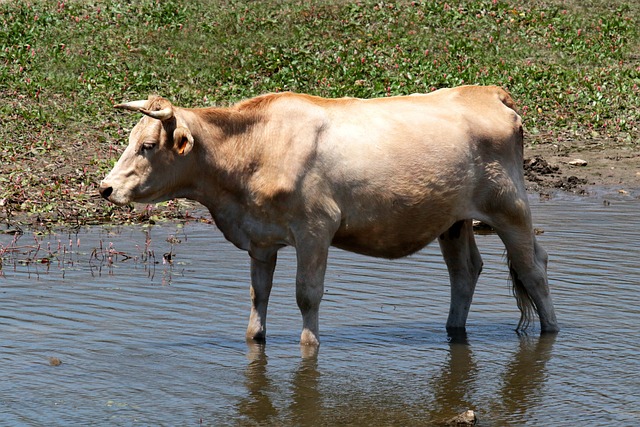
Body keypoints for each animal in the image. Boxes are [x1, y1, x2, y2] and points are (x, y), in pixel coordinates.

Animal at [97, 85, 556, 346]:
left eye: (148, 146)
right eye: (131, 140)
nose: (106, 188)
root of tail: (486, 90)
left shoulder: (315, 228)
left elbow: (307, 294)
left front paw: (309, 346)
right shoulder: (260, 238)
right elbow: (258, 295)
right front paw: (255, 338)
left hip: (510, 207)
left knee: (532, 266)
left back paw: (551, 331)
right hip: (453, 220)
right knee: (465, 271)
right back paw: (453, 331)